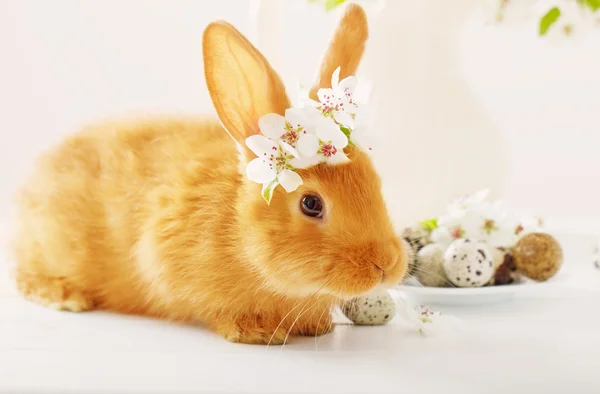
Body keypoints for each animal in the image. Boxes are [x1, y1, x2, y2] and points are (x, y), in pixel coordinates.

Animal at [10, 3, 408, 344]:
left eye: (376, 182)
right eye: (311, 204)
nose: (387, 265)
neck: (238, 228)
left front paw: (318, 326)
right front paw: (253, 331)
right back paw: (64, 295)